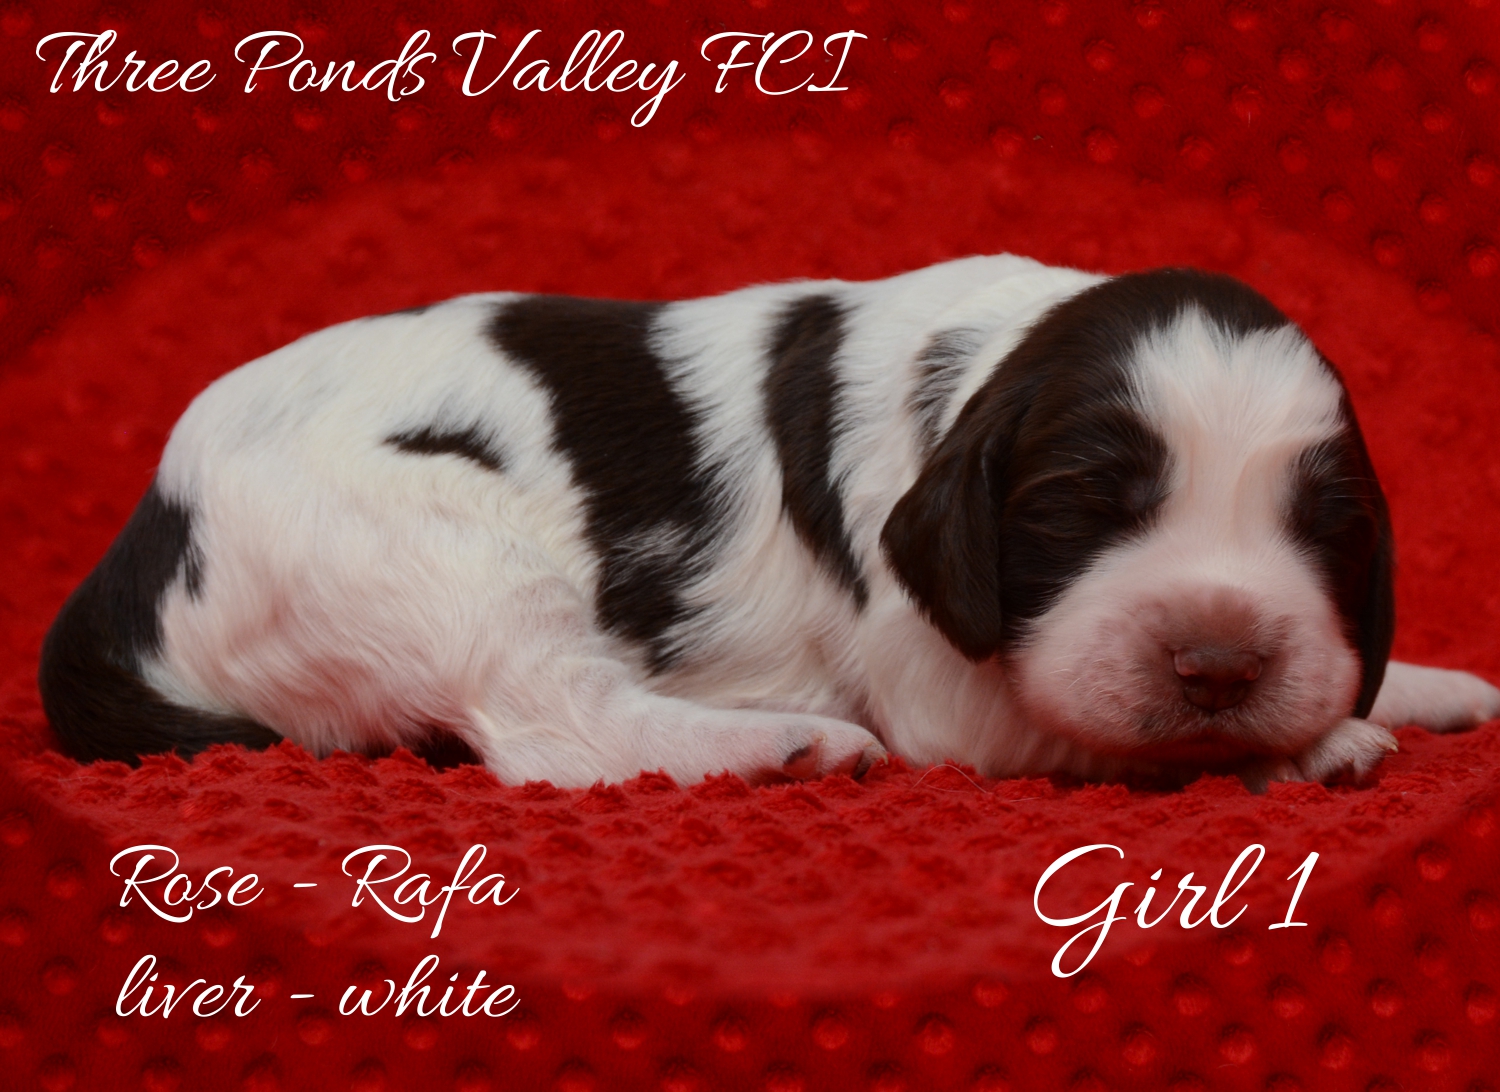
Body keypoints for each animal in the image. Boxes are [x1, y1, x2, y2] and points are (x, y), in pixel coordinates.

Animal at [40, 255, 1500, 789]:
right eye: (1080, 512)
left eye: (1324, 532)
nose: (1219, 667)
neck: (978, 371)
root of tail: (137, 548)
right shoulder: (950, 697)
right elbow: (1082, 721)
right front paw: (1317, 740)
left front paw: (1430, 686)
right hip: (443, 546)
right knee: (564, 737)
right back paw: (785, 743)